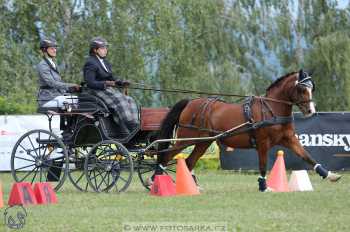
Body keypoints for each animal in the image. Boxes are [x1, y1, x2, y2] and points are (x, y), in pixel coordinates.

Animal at [154, 70, 340, 191]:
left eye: (312, 88)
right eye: (301, 89)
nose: (310, 111)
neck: (272, 109)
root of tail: (190, 102)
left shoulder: (289, 139)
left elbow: (307, 156)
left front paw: (330, 175)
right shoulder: (263, 143)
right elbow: (263, 164)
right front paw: (263, 186)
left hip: (203, 142)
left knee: (188, 162)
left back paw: (193, 186)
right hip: (186, 139)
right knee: (166, 155)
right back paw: (155, 180)